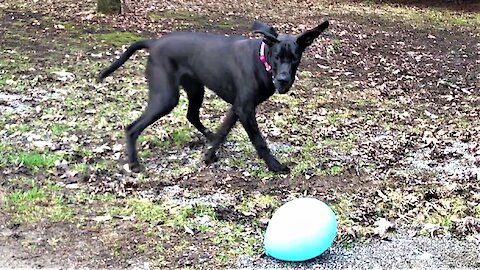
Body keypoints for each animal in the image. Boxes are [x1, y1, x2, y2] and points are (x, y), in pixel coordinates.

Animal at [97, 20, 330, 172]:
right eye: (276, 56)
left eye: (295, 58)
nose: (283, 80)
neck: (261, 61)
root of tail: (154, 43)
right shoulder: (245, 109)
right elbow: (259, 141)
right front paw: (275, 165)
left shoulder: (237, 108)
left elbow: (222, 133)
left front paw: (209, 155)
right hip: (166, 97)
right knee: (132, 127)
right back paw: (134, 163)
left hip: (195, 89)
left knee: (192, 115)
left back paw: (207, 135)